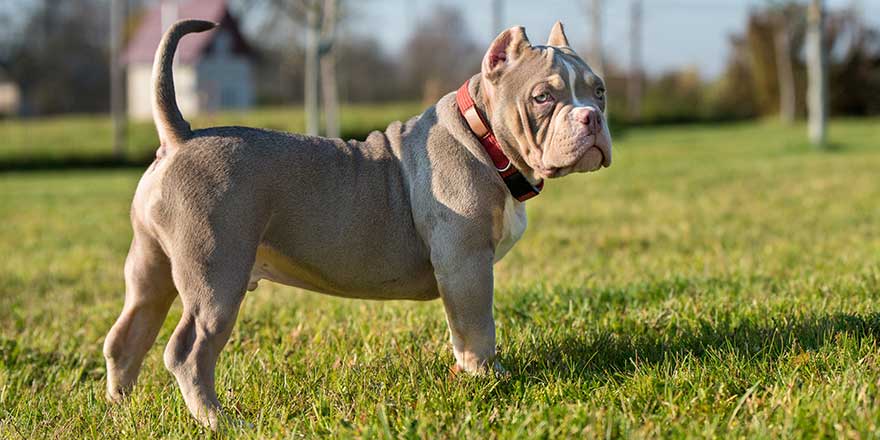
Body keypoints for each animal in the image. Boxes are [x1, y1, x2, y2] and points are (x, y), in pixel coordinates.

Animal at [103, 18, 612, 428]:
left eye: (599, 90)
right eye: (543, 97)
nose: (592, 117)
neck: (484, 139)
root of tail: (181, 137)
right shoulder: (466, 265)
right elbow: (477, 325)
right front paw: (487, 377)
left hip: (151, 269)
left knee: (127, 336)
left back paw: (122, 408)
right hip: (216, 278)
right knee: (188, 352)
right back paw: (218, 420)